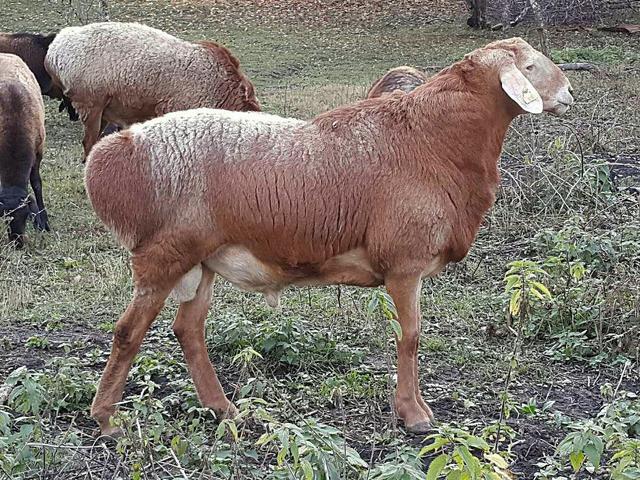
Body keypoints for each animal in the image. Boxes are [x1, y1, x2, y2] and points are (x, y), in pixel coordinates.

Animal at [0, 53, 49, 247]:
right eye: (4, 217)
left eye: (26, 216)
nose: (17, 243)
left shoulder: (38, 150)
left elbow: (36, 183)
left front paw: (43, 219)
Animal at [84, 37, 574, 436]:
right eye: (530, 67)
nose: (569, 93)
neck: (432, 142)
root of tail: (112, 155)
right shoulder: (404, 264)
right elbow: (410, 337)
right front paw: (413, 415)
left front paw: (417, 409)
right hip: (163, 255)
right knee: (128, 332)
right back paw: (107, 418)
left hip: (202, 259)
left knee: (188, 330)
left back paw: (223, 410)